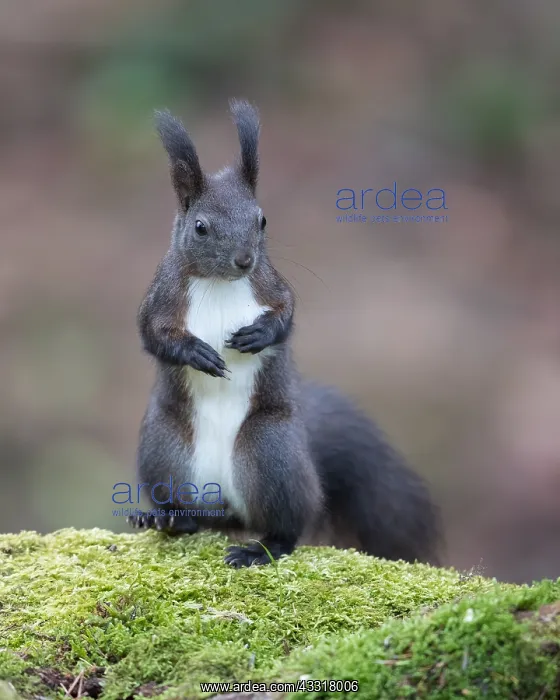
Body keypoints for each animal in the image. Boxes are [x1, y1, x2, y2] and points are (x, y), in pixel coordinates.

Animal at [128, 99, 442, 568]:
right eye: (200, 226)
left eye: (262, 220)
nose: (244, 260)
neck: (219, 282)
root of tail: (226, 511)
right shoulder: (161, 297)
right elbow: (151, 334)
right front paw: (196, 352)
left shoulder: (271, 284)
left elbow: (288, 314)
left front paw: (259, 335)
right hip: (163, 451)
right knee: (187, 513)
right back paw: (165, 519)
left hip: (270, 451)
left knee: (288, 526)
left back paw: (261, 548)